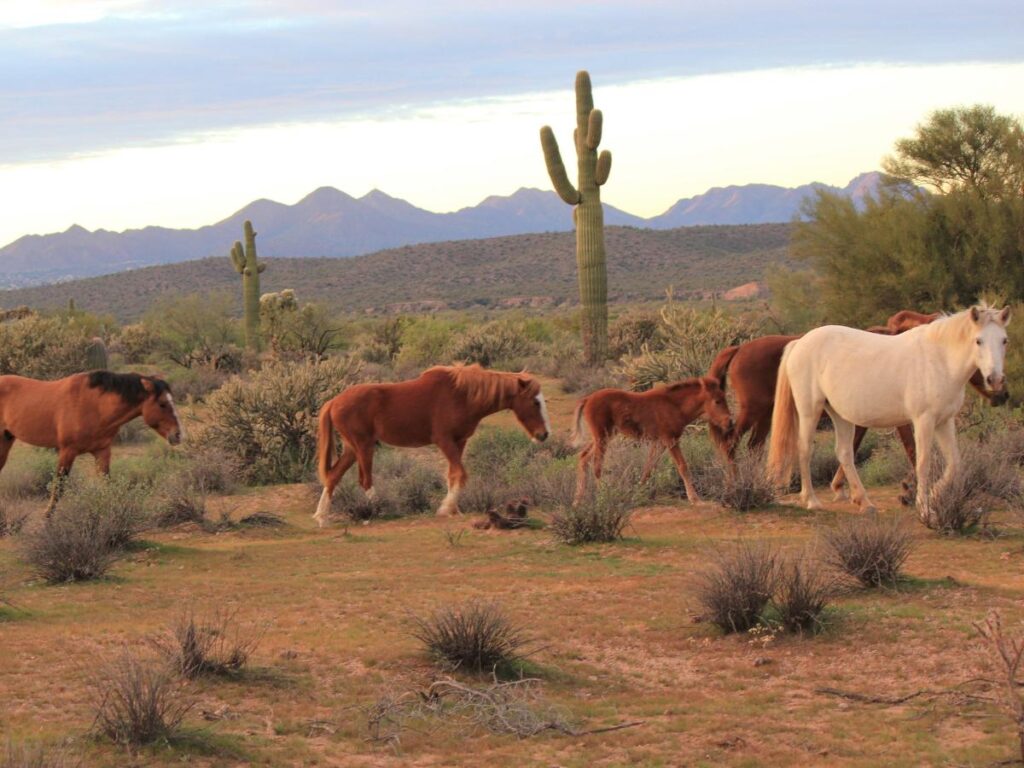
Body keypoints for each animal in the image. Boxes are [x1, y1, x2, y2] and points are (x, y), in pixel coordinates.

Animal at [0, 370, 184, 514]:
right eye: (162, 404)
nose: (178, 435)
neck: (95, 406)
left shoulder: (102, 451)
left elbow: (107, 485)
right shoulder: (67, 451)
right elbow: (59, 487)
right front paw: (47, 518)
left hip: (6, 440)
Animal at [314, 364, 550, 526]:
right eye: (535, 402)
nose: (544, 434)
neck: (463, 395)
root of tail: (333, 402)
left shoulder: (459, 442)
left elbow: (453, 475)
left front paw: (454, 510)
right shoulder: (444, 441)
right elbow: (460, 473)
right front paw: (445, 509)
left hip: (352, 448)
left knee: (333, 476)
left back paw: (322, 517)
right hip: (364, 446)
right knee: (365, 481)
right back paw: (380, 510)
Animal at [571, 376, 734, 504]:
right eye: (717, 401)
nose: (729, 422)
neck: (675, 406)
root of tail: (587, 399)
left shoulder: (659, 443)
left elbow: (648, 467)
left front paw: (637, 493)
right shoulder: (670, 440)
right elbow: (682, 466)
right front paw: (694, 498)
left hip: (604, 436)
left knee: (583, 458)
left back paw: (577, 500)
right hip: (602, 437)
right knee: (597, 465)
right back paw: (602, 496)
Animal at [766, 305, 1010, 522]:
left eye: (1004, 340)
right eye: (978, 340)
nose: (995, 381)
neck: (940, 359)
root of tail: (799, 343)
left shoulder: (944, 421)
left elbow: (954, 464)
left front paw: (934, 497)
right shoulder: (924, 421)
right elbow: (923, 462)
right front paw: (925, 510)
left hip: (840, 415)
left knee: (844, 453)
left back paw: (864, 503)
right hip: (810, 410)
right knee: (804, 449)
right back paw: (811, 500)